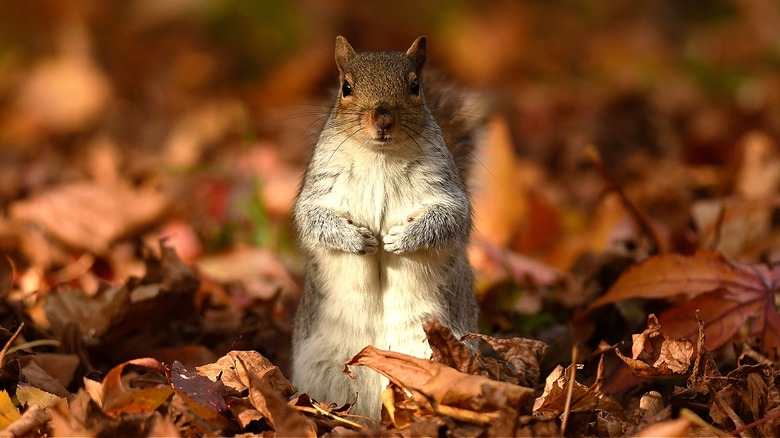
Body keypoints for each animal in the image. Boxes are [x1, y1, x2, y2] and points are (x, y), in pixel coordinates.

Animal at [291, 36, 481, 419]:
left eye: (415, 86)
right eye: (346, 87)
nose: (382, 119)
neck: (379, 156)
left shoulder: (445, 188)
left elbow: (451, 219)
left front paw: (401, 239)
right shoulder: (319, 188)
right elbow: (313, 219)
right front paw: (357, 239)